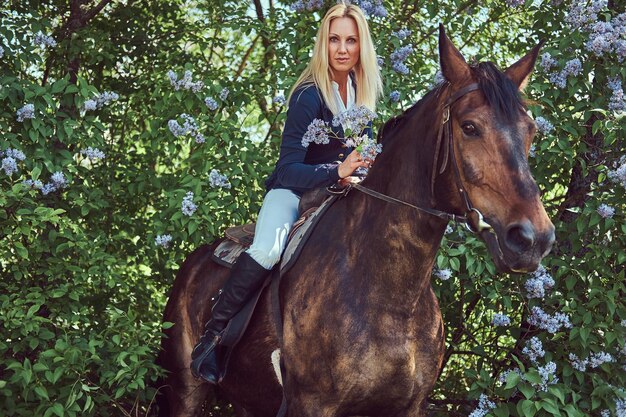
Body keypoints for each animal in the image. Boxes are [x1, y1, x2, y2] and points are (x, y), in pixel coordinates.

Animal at [155, 26, 552, 416]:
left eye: (530, 130)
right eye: (469, 127)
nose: (532, 239)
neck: (389, 292)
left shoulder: (409, 407)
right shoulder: (311, 404)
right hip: (184, 392)